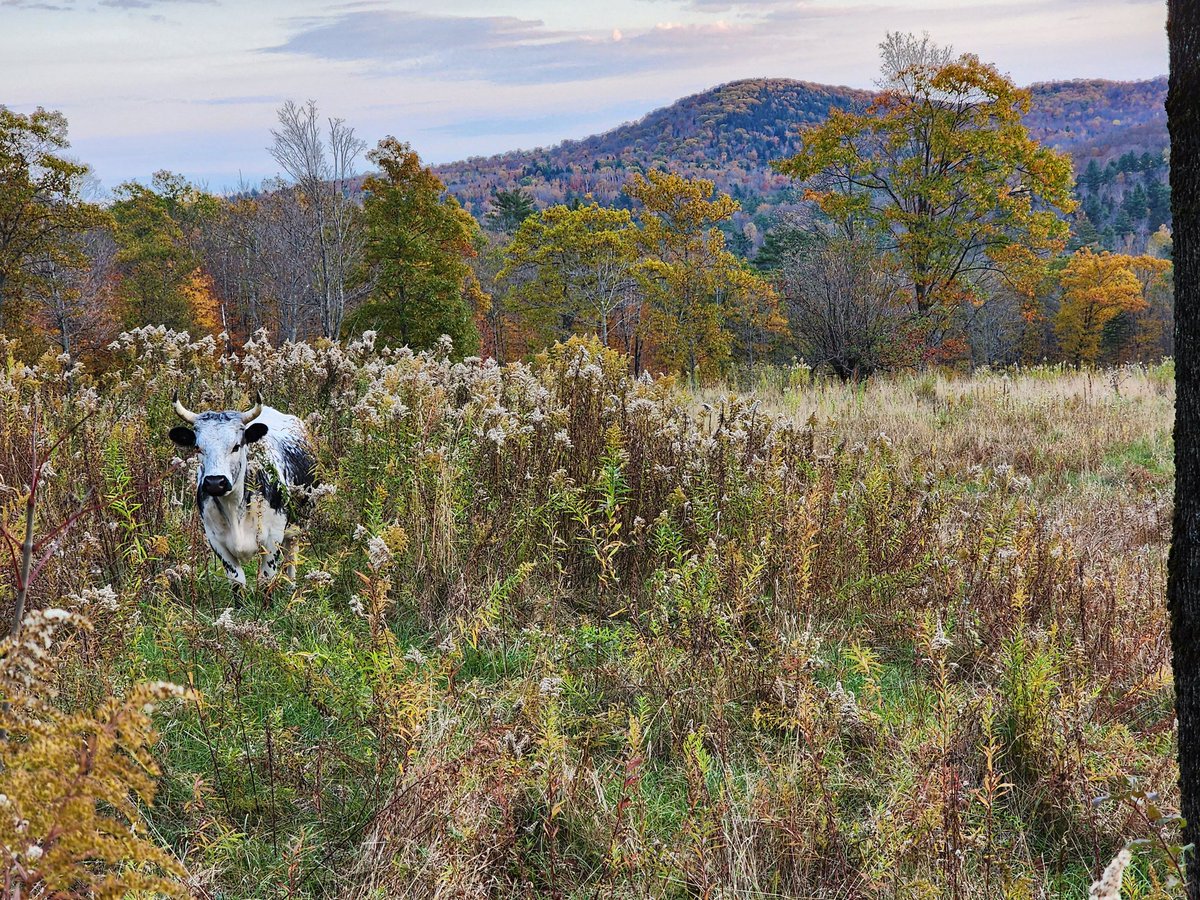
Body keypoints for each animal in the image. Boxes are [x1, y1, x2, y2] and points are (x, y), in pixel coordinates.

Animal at [169, 393, 316, 597]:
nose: (215, 482)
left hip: (299, 525)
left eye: (236, 446)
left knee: (291, 557)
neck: (234, 510)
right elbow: (238, 584)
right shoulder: (217, 542)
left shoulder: (273, 540)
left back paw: (290, 589)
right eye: (198, 447)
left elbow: (266, 582)